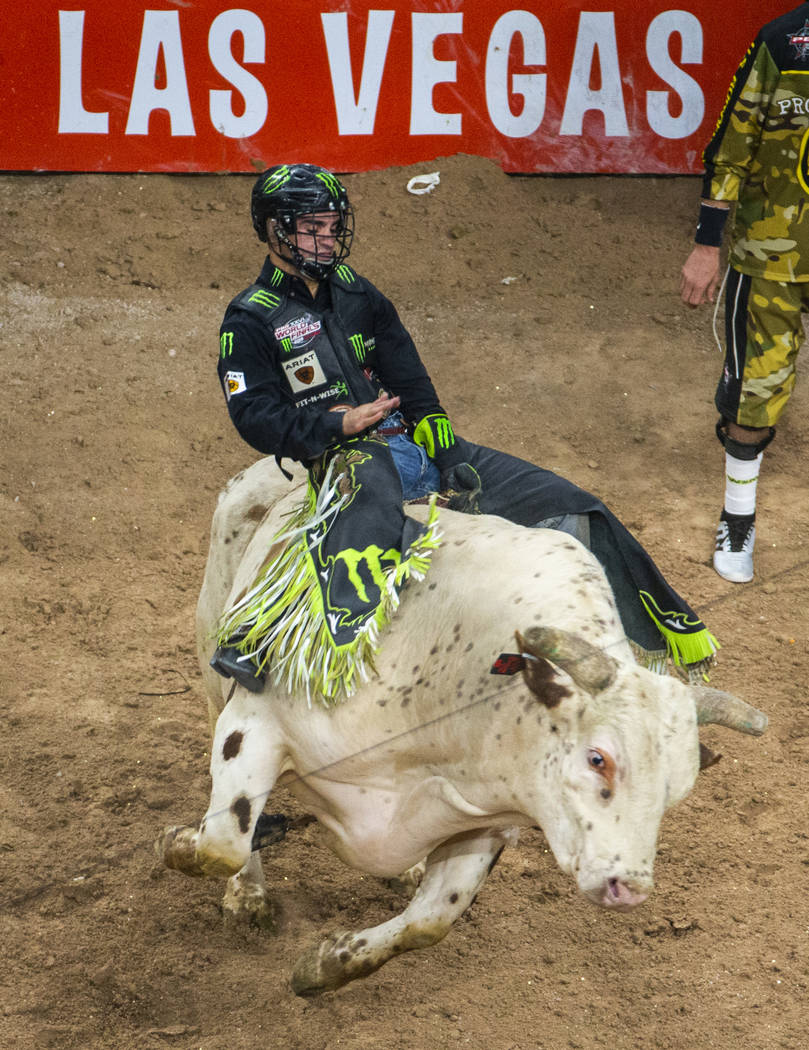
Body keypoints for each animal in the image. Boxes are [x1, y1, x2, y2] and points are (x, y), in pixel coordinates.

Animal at [155, 457, 764, 991]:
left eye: (676, 790)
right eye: (598, 758)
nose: (628, 887)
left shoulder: (479, 817)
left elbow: (431, 921)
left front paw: (324, 965)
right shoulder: (254, 723)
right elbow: (222, 844)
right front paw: (181, 847)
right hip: (212, 667)